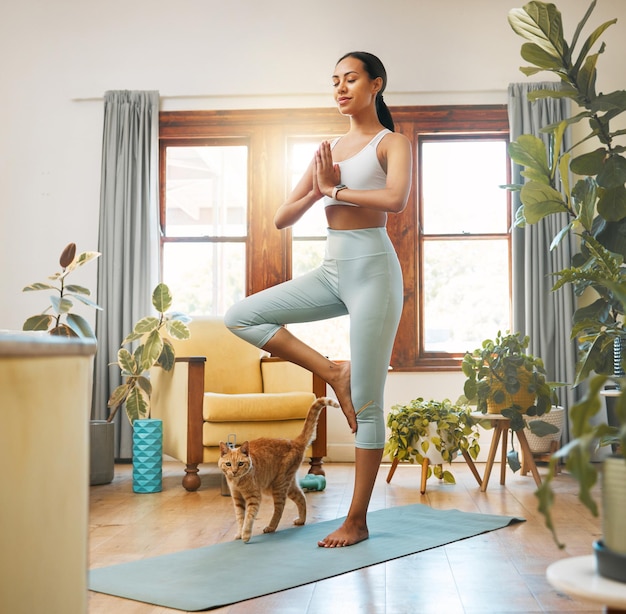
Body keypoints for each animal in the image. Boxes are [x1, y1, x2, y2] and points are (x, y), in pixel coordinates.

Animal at [218, 400, 338, 544]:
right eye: (228, 464)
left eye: (240, 464)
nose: (234, 471)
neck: (237, 481)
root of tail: (293, 442)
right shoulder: (237, 499)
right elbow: (240, 517)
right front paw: (239, 534)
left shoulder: (254, 497)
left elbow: (249, 517)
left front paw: (246, 534)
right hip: (288, 484)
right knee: (301, 497)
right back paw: (301, 520)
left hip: (278, 486)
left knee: (280, 508)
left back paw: (271, 527)